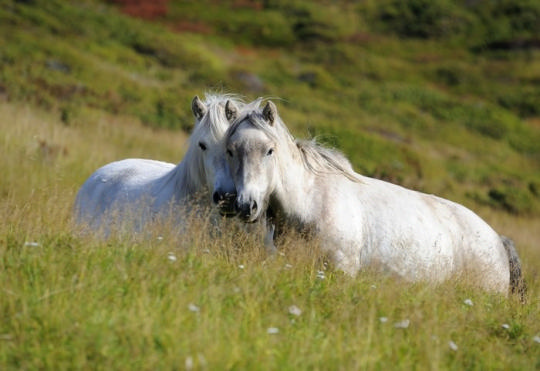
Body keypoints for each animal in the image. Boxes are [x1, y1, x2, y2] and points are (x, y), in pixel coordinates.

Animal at [223, 99, 524, 296]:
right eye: (230, 150)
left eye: (269, 150)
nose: (246, 205)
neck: (311, 201)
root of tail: (498, 241)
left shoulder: (341, 271)